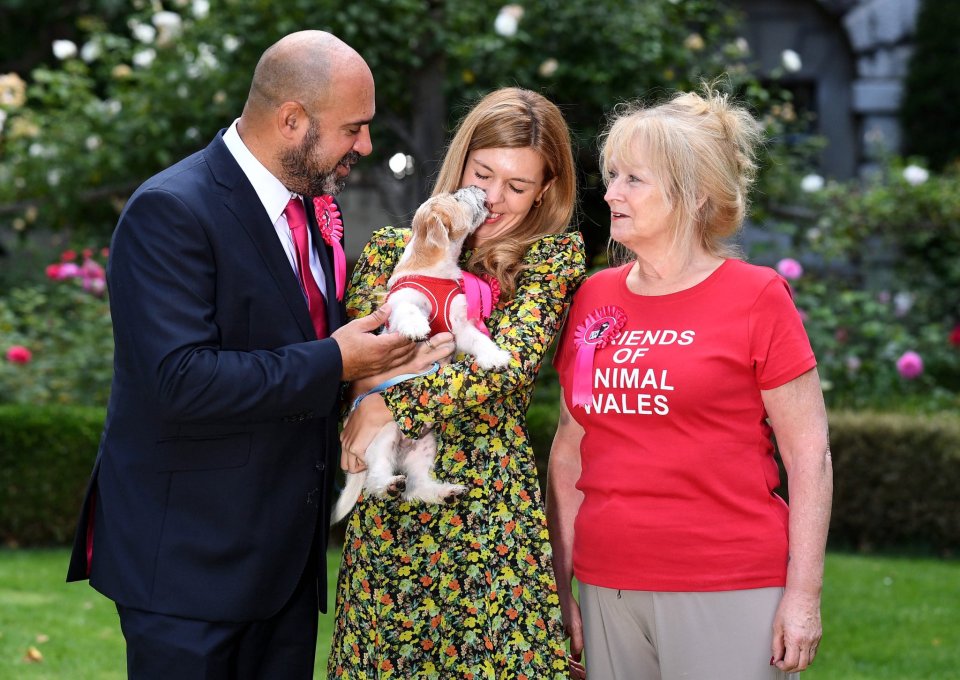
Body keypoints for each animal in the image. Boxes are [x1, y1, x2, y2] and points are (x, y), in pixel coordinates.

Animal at [332, 187, 512, 524]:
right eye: (457, 197)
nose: (478, 188)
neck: (436, 270)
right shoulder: (401, 303)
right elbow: (408, 311)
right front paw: (417, 327)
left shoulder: (461, 328)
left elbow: (479, 340)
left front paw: (494, 356)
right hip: (385, 437)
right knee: (377, 478)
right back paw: (389, 484)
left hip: (425, 447)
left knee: (416, 486)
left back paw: (444, 491)